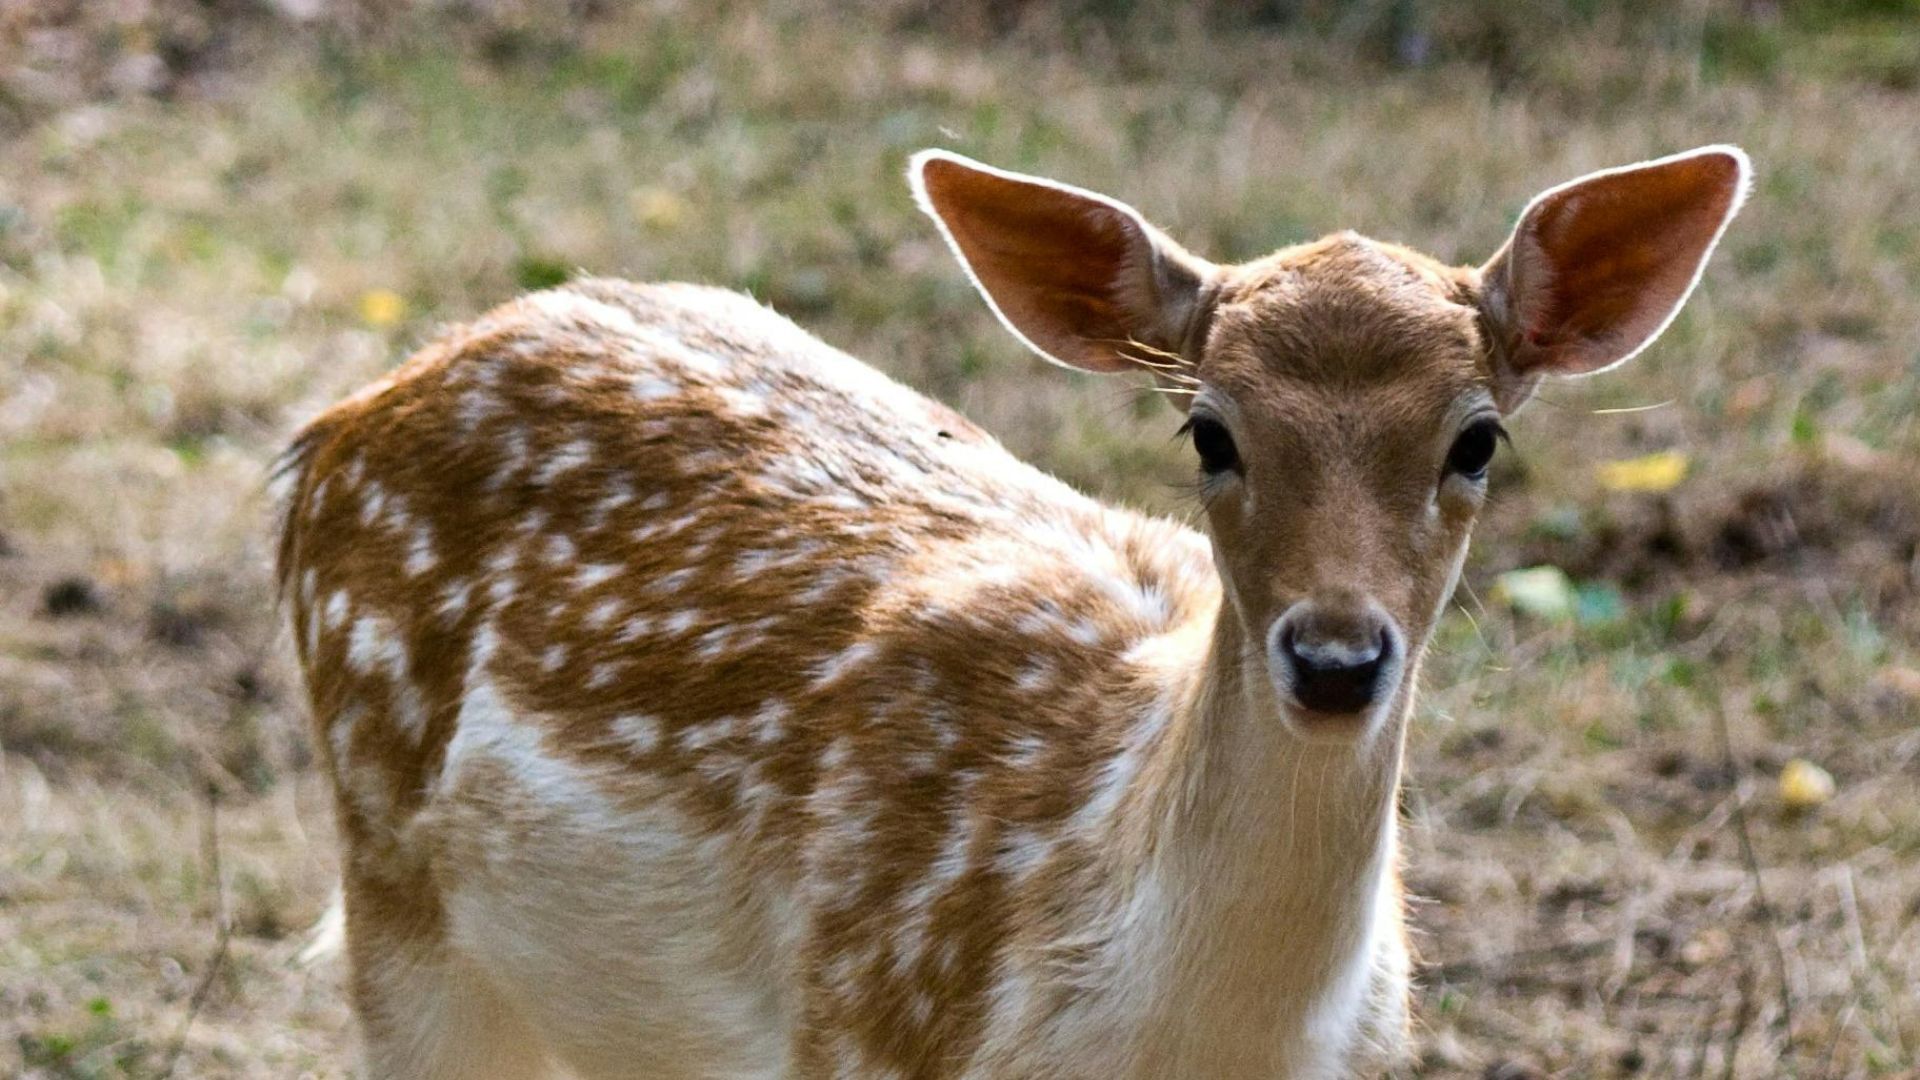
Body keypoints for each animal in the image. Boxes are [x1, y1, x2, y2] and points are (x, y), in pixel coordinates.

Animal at [278, 145, 1751, 1076]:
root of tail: (343, 421)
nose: (1336, 657)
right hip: (392, 898)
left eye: (1478, 439)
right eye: (1210, 431)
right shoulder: (864, 1023)